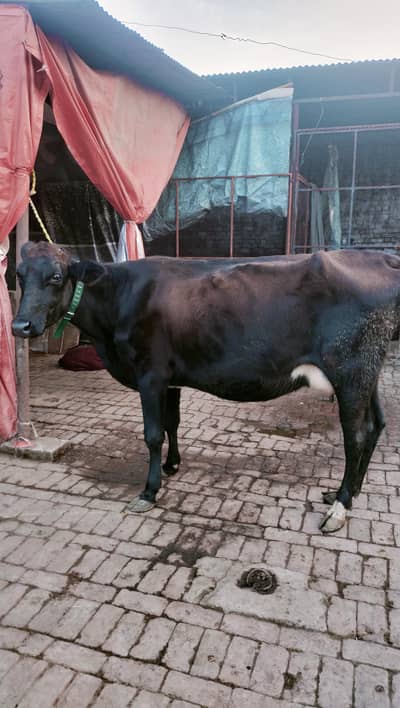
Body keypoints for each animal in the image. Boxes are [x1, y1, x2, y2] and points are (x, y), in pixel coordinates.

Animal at [12, 242, 400, 533]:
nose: (20, 326)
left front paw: (149, 491)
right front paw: (172, 465)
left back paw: (340, 506)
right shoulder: (171, 378)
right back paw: (347, 493)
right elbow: (172, 424)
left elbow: (152, 434)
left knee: (356, 435)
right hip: (367, 370)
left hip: (350, 370)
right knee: (376, 424)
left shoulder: (150, 373)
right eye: (17, 275)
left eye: (56, 276)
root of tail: (381, 257)